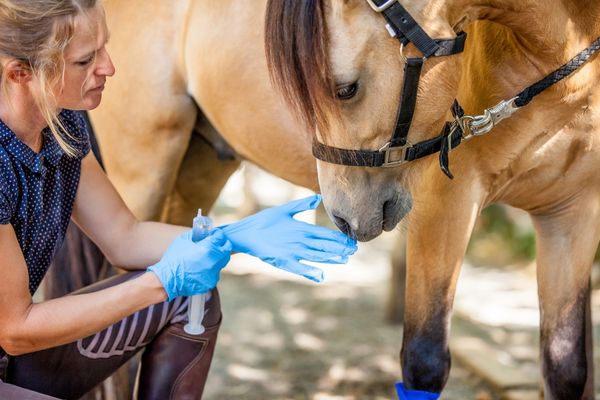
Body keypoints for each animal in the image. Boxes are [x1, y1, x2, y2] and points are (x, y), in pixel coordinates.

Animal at [264, 0, 600, 400]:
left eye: (345, 90)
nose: (344, 218)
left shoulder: (573, 211)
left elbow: (565, 365)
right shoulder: (444, 203)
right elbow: (424, 360)